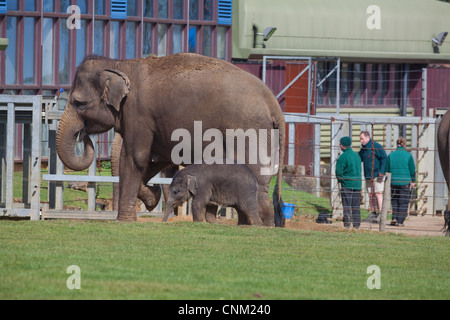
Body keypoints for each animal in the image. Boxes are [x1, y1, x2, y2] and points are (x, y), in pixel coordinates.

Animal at [56, 53, 284, 225]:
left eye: (78, 103)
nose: (84, 134)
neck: (121, 63)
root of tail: (273, 103)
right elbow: (156, 160)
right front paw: (151, 197)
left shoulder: (138, 113)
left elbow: (135, 157)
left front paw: (124, 221)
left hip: (248, 130)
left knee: (255, 177)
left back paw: (256, 226)